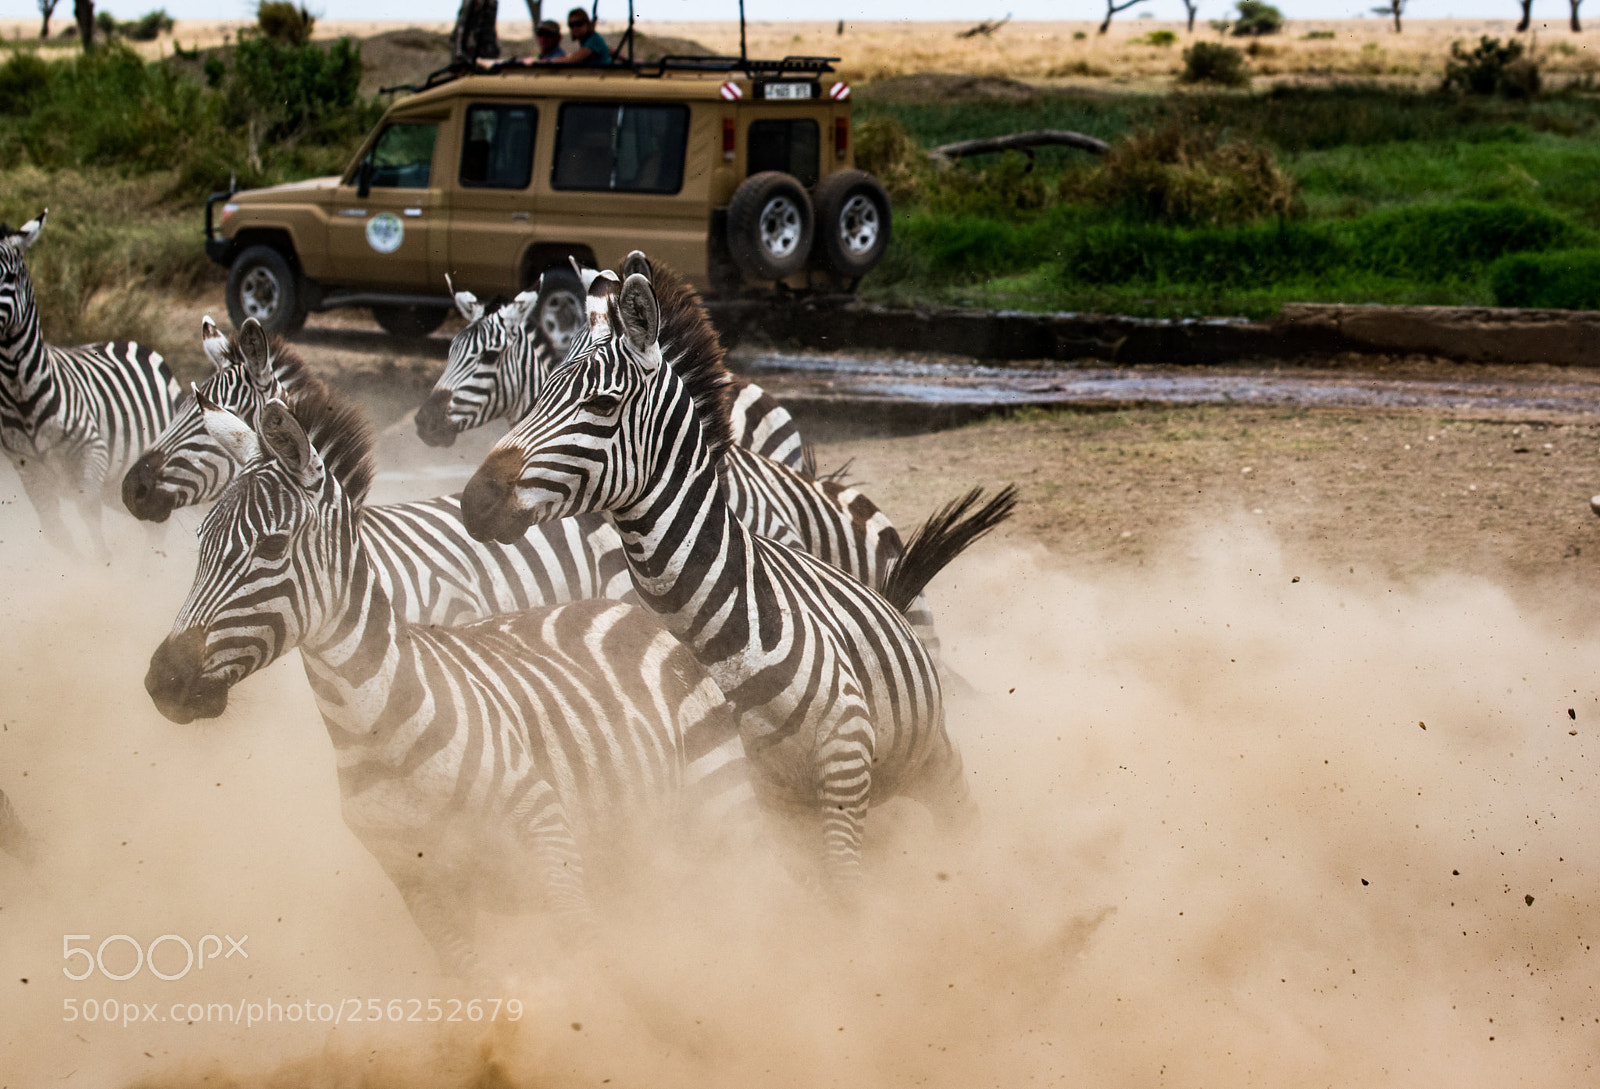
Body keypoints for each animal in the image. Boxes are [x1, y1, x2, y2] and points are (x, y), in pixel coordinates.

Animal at [0, 210, 184, 559]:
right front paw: (83, 566)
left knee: (155, 525)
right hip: (116, 482)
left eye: (11, 275)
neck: (21, 391)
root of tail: (133, 343)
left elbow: (88, 515)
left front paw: (103, 565)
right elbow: (55, 531)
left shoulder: (91, 453)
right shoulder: (27, 467)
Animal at [145, 390, 751, 973]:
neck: (375, 723)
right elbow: (477, 984)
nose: (163, 680)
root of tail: (623, 608)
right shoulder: (423, 885)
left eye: (270, 546)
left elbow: (591, 954)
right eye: (200, 540)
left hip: (715, 806)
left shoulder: (549, 838)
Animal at [460, 270, 1016, 894]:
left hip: (929, 756)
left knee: (960, 820)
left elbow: (846, 896)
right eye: (538, 394)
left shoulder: (845, 759)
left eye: (602, 403)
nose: (474, 500)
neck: (719, 625)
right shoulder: (745, 787)